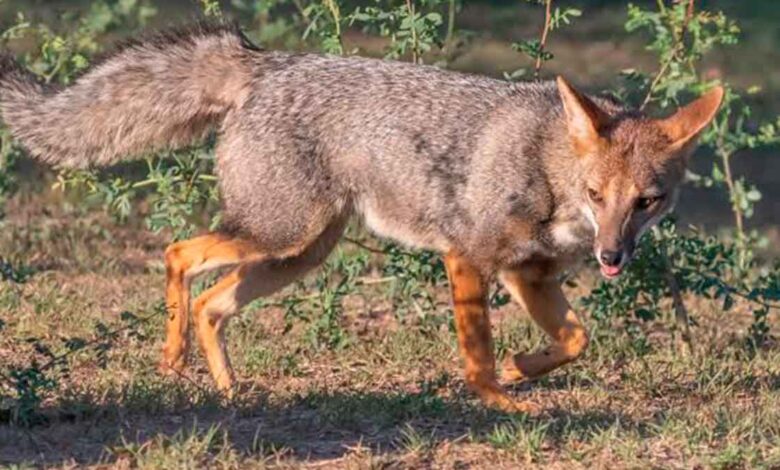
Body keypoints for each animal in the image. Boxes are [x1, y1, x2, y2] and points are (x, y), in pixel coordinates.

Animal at [0, 22, 723, 412]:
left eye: (646, 202)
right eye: (596, 195)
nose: (611, 257)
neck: (545, 166)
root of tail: (269, 62)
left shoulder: (530, 276)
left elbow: (575, 340)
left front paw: (523, 368)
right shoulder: (468, 257)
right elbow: (478, 354)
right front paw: (497, 399)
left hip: (293, 255)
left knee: (210, 302)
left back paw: (229, 390)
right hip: (278, 236)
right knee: (178, 253)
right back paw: (173, 358)